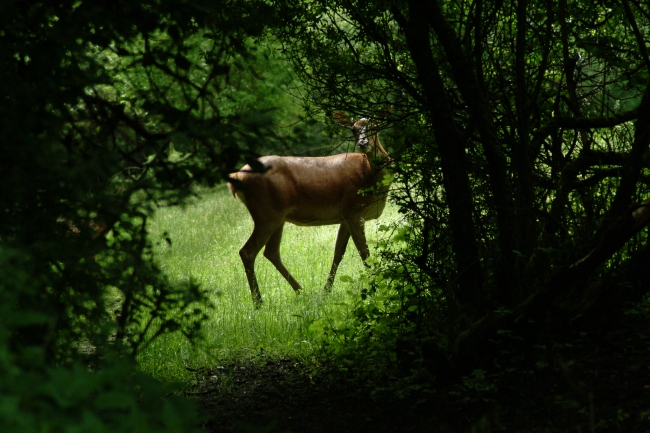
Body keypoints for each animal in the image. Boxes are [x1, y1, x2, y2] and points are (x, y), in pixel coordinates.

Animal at [228, 113, 390, 306]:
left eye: (375, 126)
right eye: (353, 129)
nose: (363, 143)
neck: (369, 175)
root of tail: (236, 177)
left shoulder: (345, 215)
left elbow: (338, 252)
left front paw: (326, 291)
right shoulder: (354, 209)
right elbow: (364, 252)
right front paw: (378, 287)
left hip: (278, 216)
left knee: (271, 252)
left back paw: (301, 291)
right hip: (266, 212)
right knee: (248, 251)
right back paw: (259, 302)